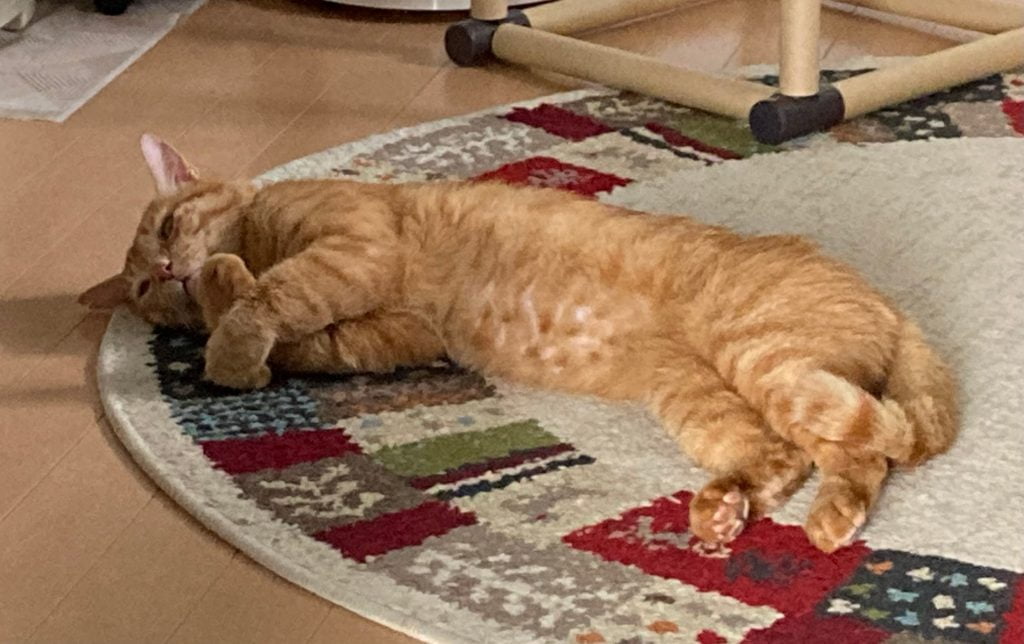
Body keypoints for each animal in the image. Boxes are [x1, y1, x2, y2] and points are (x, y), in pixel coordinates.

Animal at [81, 133, 958, 553]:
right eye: (146, 291)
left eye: (169, 226)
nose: (168, 269)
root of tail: (886, 301)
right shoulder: (388, 333)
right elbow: (301, 339)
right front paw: (237, 331)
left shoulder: (352, 251)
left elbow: (268, 298)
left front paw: (228, 336)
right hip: (703, 396)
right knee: (795, 459)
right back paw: (734, 514)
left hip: (767, 361)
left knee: (862, 451)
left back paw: (811, 521)